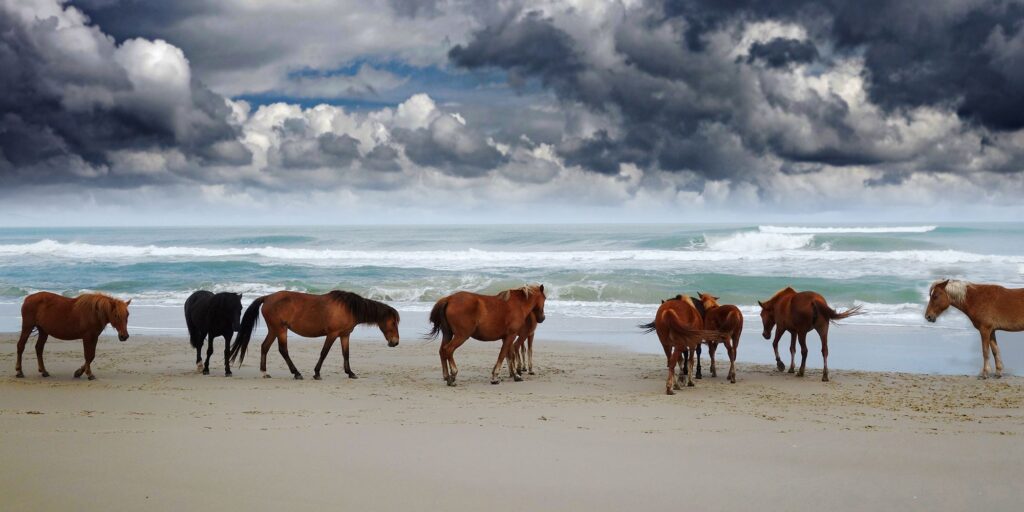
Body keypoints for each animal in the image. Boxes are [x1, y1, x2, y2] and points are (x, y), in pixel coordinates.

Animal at [229, 290, 400, 380]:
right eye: (392, 323)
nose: (395, 342)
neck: (348, 308)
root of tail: (267, 298)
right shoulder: (332, 334)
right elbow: (324, 353)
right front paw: (317, 373)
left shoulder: (344, 335)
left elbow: (346, 354)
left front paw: (350, 373)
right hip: (280, 329)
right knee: (283, 350)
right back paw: (296, 373)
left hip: (274, 330)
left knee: (265, 347)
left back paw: (265, 372)